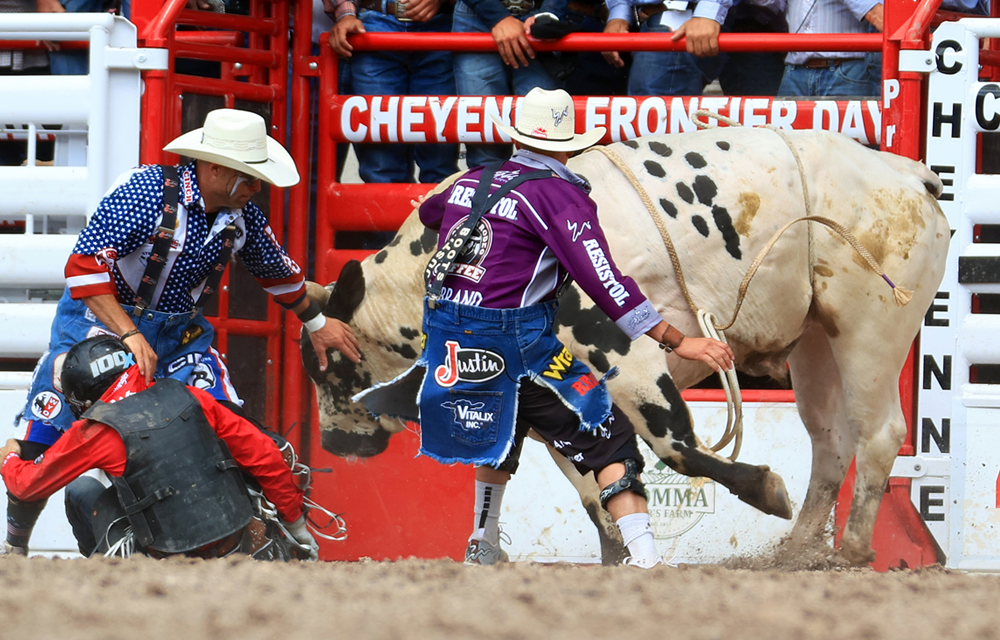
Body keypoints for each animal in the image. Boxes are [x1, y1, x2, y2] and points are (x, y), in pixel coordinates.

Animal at [300, 127, 948, 568]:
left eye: (333, 366)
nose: (333, 443)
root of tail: (906, 173)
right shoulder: (559, 404)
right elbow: (596, 488)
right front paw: (618, 559)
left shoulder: (628, 360)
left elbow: (674, 447)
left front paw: (764, 487)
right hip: (815, 341)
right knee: (831, 441)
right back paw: (799, 555)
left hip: (871, 327)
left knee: (878, 433)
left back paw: (853, 550)